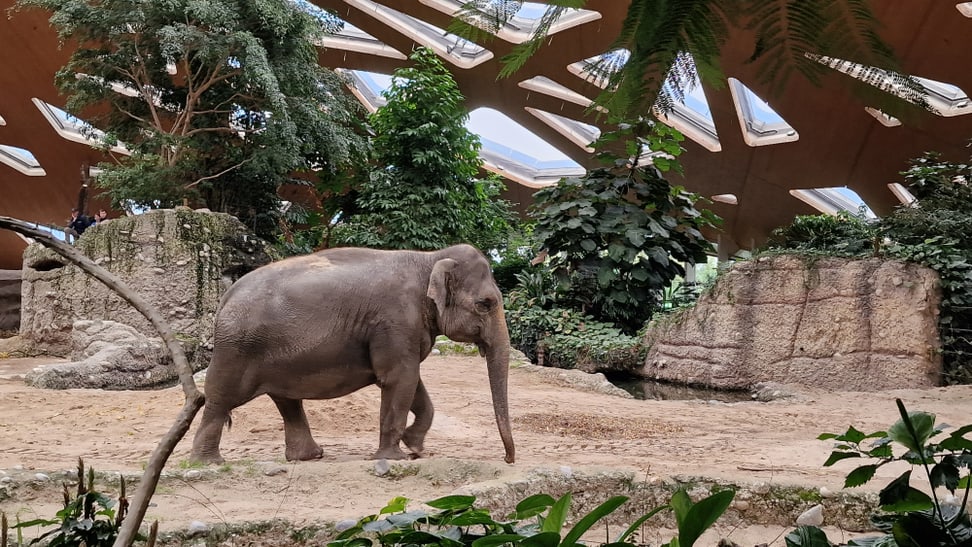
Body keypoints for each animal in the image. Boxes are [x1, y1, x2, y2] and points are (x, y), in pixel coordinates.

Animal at [190, 244, 515, 464]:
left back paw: (309, 456)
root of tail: (225, 297)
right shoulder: (395, 322)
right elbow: (399, 379)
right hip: (237, 348)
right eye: (485, 304)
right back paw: (208, 463)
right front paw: (393, 457)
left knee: (286, 400)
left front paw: (415, 448)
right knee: (220, 397)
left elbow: (412, 382)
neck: (429, 258)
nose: (508, 459)